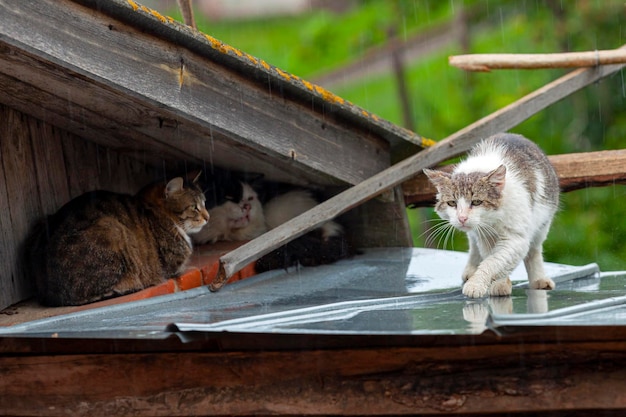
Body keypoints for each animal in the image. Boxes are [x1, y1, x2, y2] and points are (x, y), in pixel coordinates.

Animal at [422, 132, 560, 298]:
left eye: (476, 202)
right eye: (452, 203)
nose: (462, 218)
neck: (493, 220)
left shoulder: (516, 238)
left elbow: (494, 261)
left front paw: (477, 284)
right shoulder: (484, 237)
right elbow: (490, 257)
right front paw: (498, 284)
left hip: (542, 225)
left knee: (534, 251)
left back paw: (539, 280)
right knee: (474, 246)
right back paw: (471, 270)